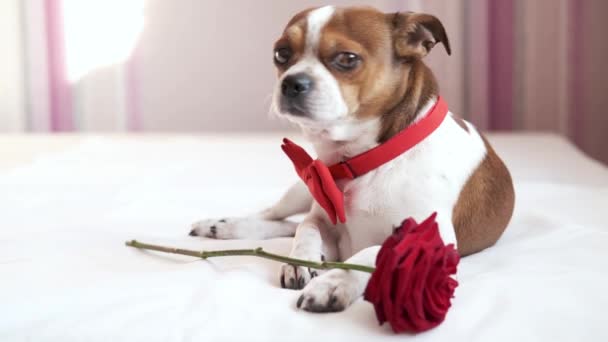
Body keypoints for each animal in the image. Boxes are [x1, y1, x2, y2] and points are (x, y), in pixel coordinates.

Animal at [190, 5, 512, 314]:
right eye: (281, 54)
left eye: (346, 58)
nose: (291, 82)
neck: (361, 160)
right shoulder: (323, 222)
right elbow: (306, 231)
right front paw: (301, 260)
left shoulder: (432, 242)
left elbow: (374, 253)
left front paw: (334, 282)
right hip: (301, 189)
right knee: (276, 217)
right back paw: (226, 225)